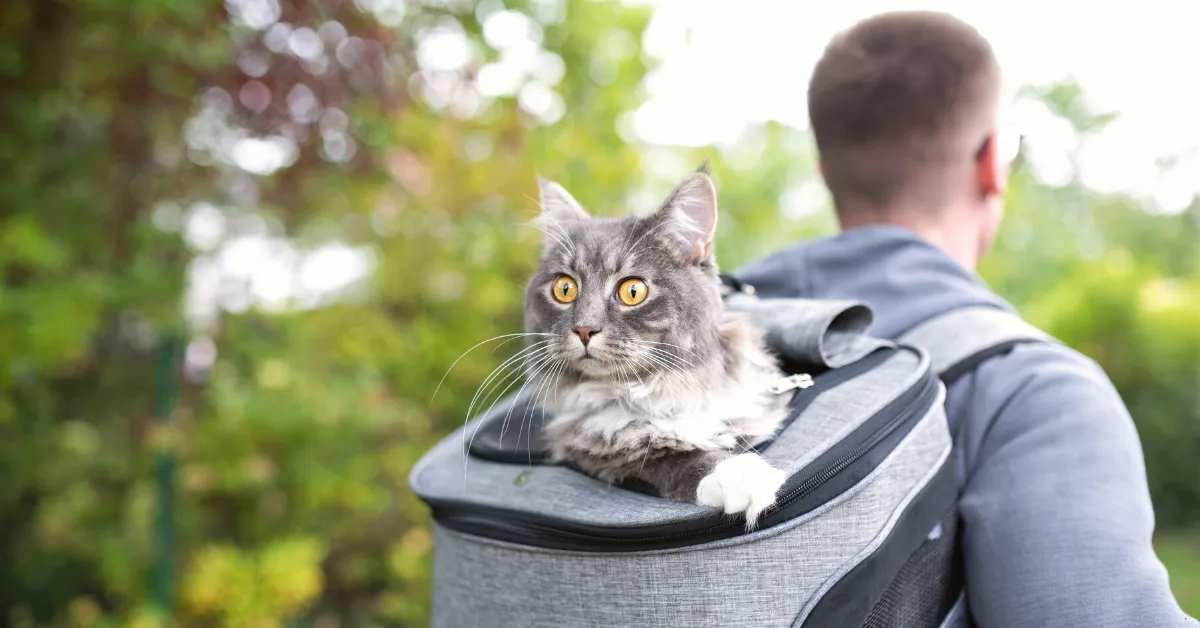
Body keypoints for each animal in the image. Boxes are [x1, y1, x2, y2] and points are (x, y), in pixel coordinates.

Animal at [525, 163, 796, 530]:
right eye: (564, 289)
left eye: (633, 291)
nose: (583, 328)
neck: (661, 389)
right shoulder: (594, 450)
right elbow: (674, 457)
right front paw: (739, 475)